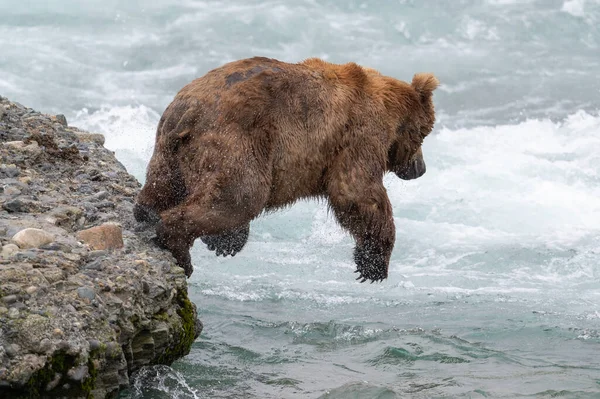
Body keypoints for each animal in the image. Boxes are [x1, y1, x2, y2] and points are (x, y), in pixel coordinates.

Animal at [134, 56, 438, 282]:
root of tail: (190, 110)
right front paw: (373, 264)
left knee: (162, 187)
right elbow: (356, 191)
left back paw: (147, 213)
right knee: (240, 195)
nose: (420, 168)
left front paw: (223, 242)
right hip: (236, 139)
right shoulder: (359, 135)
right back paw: (179, 249)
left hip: (169, 148)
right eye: (424, 133)